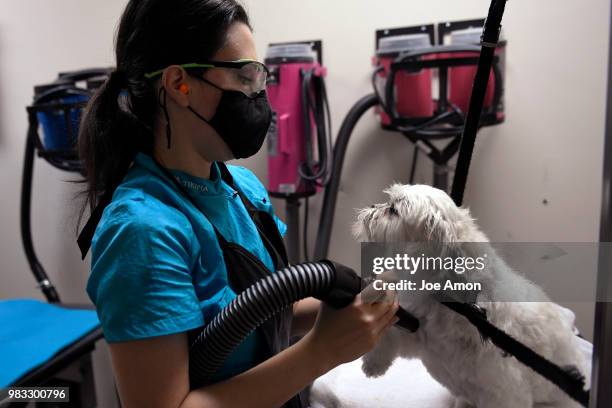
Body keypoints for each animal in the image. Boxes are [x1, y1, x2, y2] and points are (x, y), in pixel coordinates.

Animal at [354, 184, 588, 408]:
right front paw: (374, 362)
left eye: (393, 210)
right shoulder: (420, 331)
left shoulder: (505, 391)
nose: (373, 206)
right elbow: (392, 331)